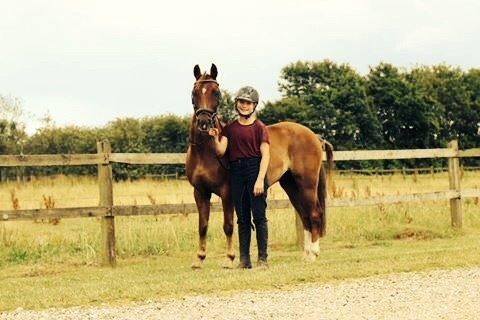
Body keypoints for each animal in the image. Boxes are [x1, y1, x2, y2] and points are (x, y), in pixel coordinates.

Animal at [186, 63, 332, 268]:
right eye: (194, 92)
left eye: (217, 93)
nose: (205, 123)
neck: (205, 152)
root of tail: (314, 136)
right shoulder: (200, 192)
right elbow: (203, 226)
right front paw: (199, 259)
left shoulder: (227, 192)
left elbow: (228, 225)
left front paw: (229, 259)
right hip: (291, 185)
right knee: (304, 215)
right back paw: (306, 254)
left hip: (307, 183)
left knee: (314, 213)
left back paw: (313, 253)